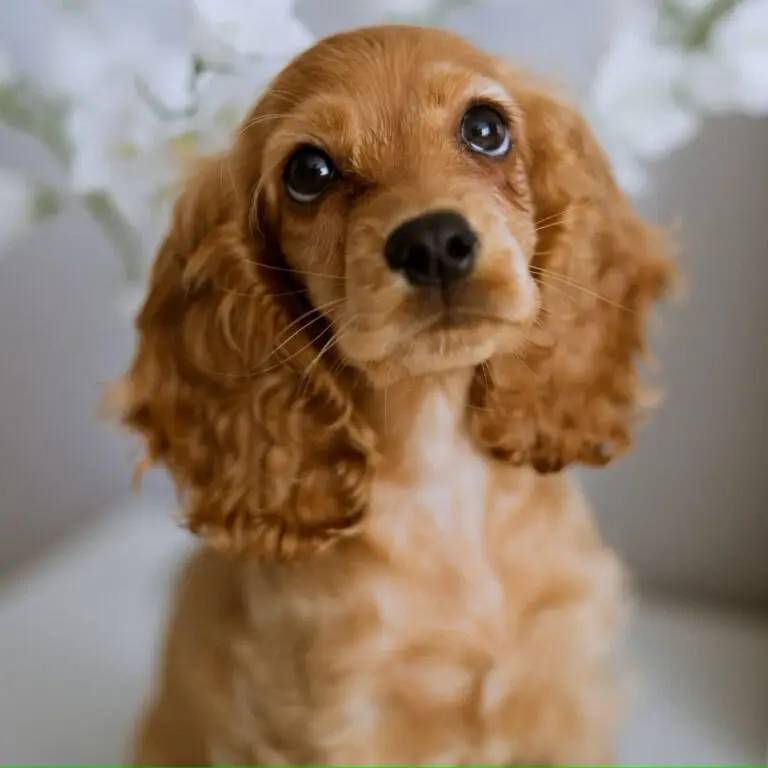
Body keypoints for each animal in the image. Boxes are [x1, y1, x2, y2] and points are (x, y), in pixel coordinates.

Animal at [121, 24, 673, 765]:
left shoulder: (564, 686)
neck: (443, 476)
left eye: (485, 128)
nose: (434, 242)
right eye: (308, 172)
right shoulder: (339, 718)